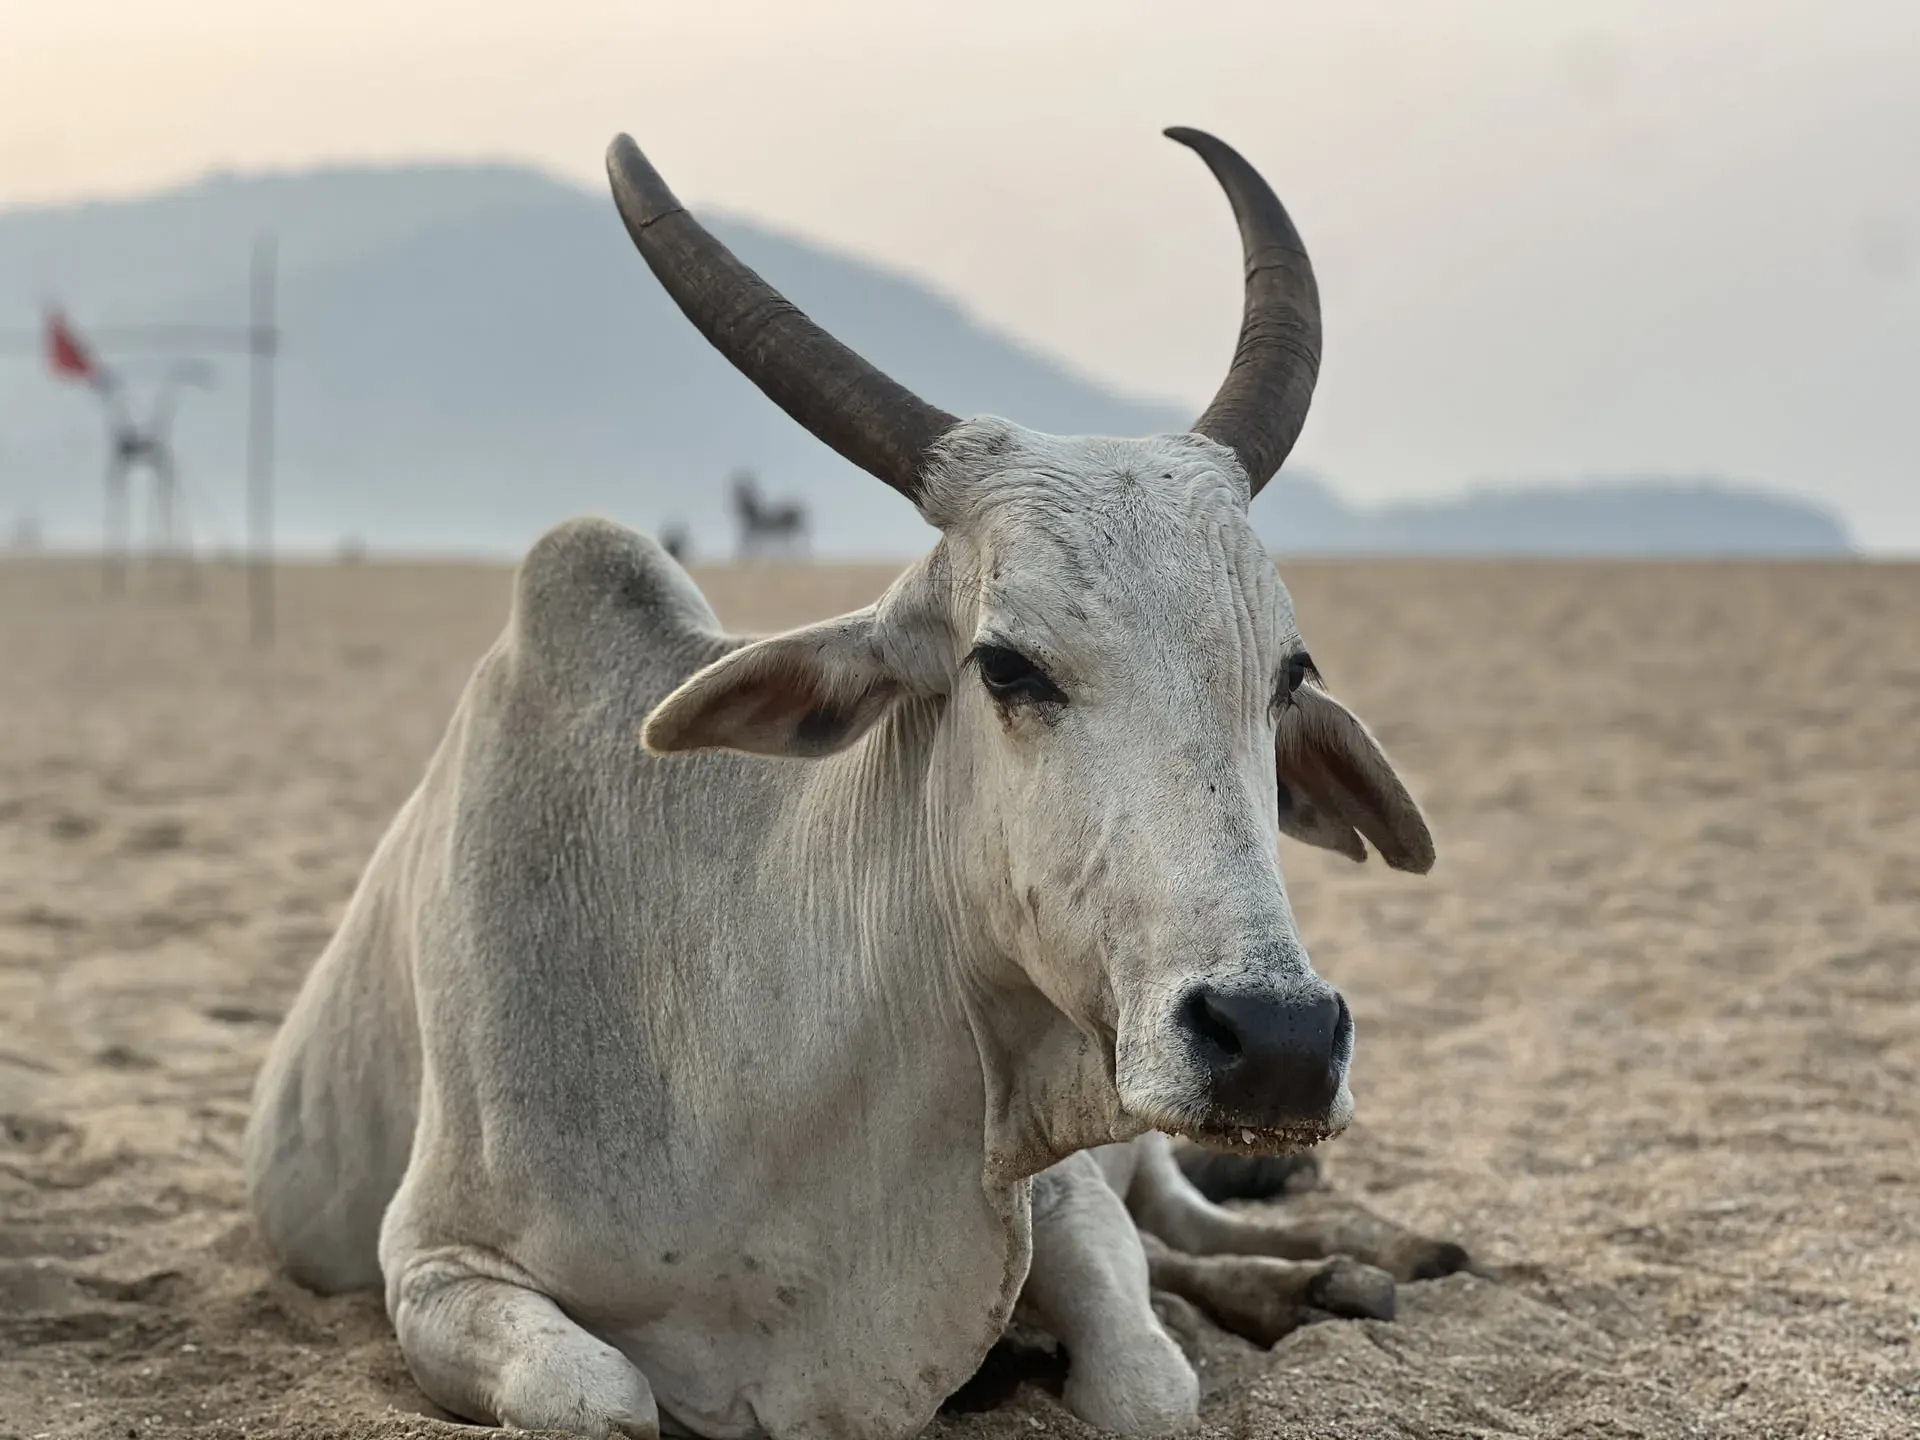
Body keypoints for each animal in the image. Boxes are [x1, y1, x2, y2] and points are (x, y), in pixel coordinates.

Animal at [243, 126, 1471, 1440]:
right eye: (1005, 663)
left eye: (1288, 676)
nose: (1278, 1041)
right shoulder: (436, 1263)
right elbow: (605, 1397)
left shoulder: (1044, 1180)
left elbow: (1146, 1379)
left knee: (1182, 1220)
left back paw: (1358, 1256)